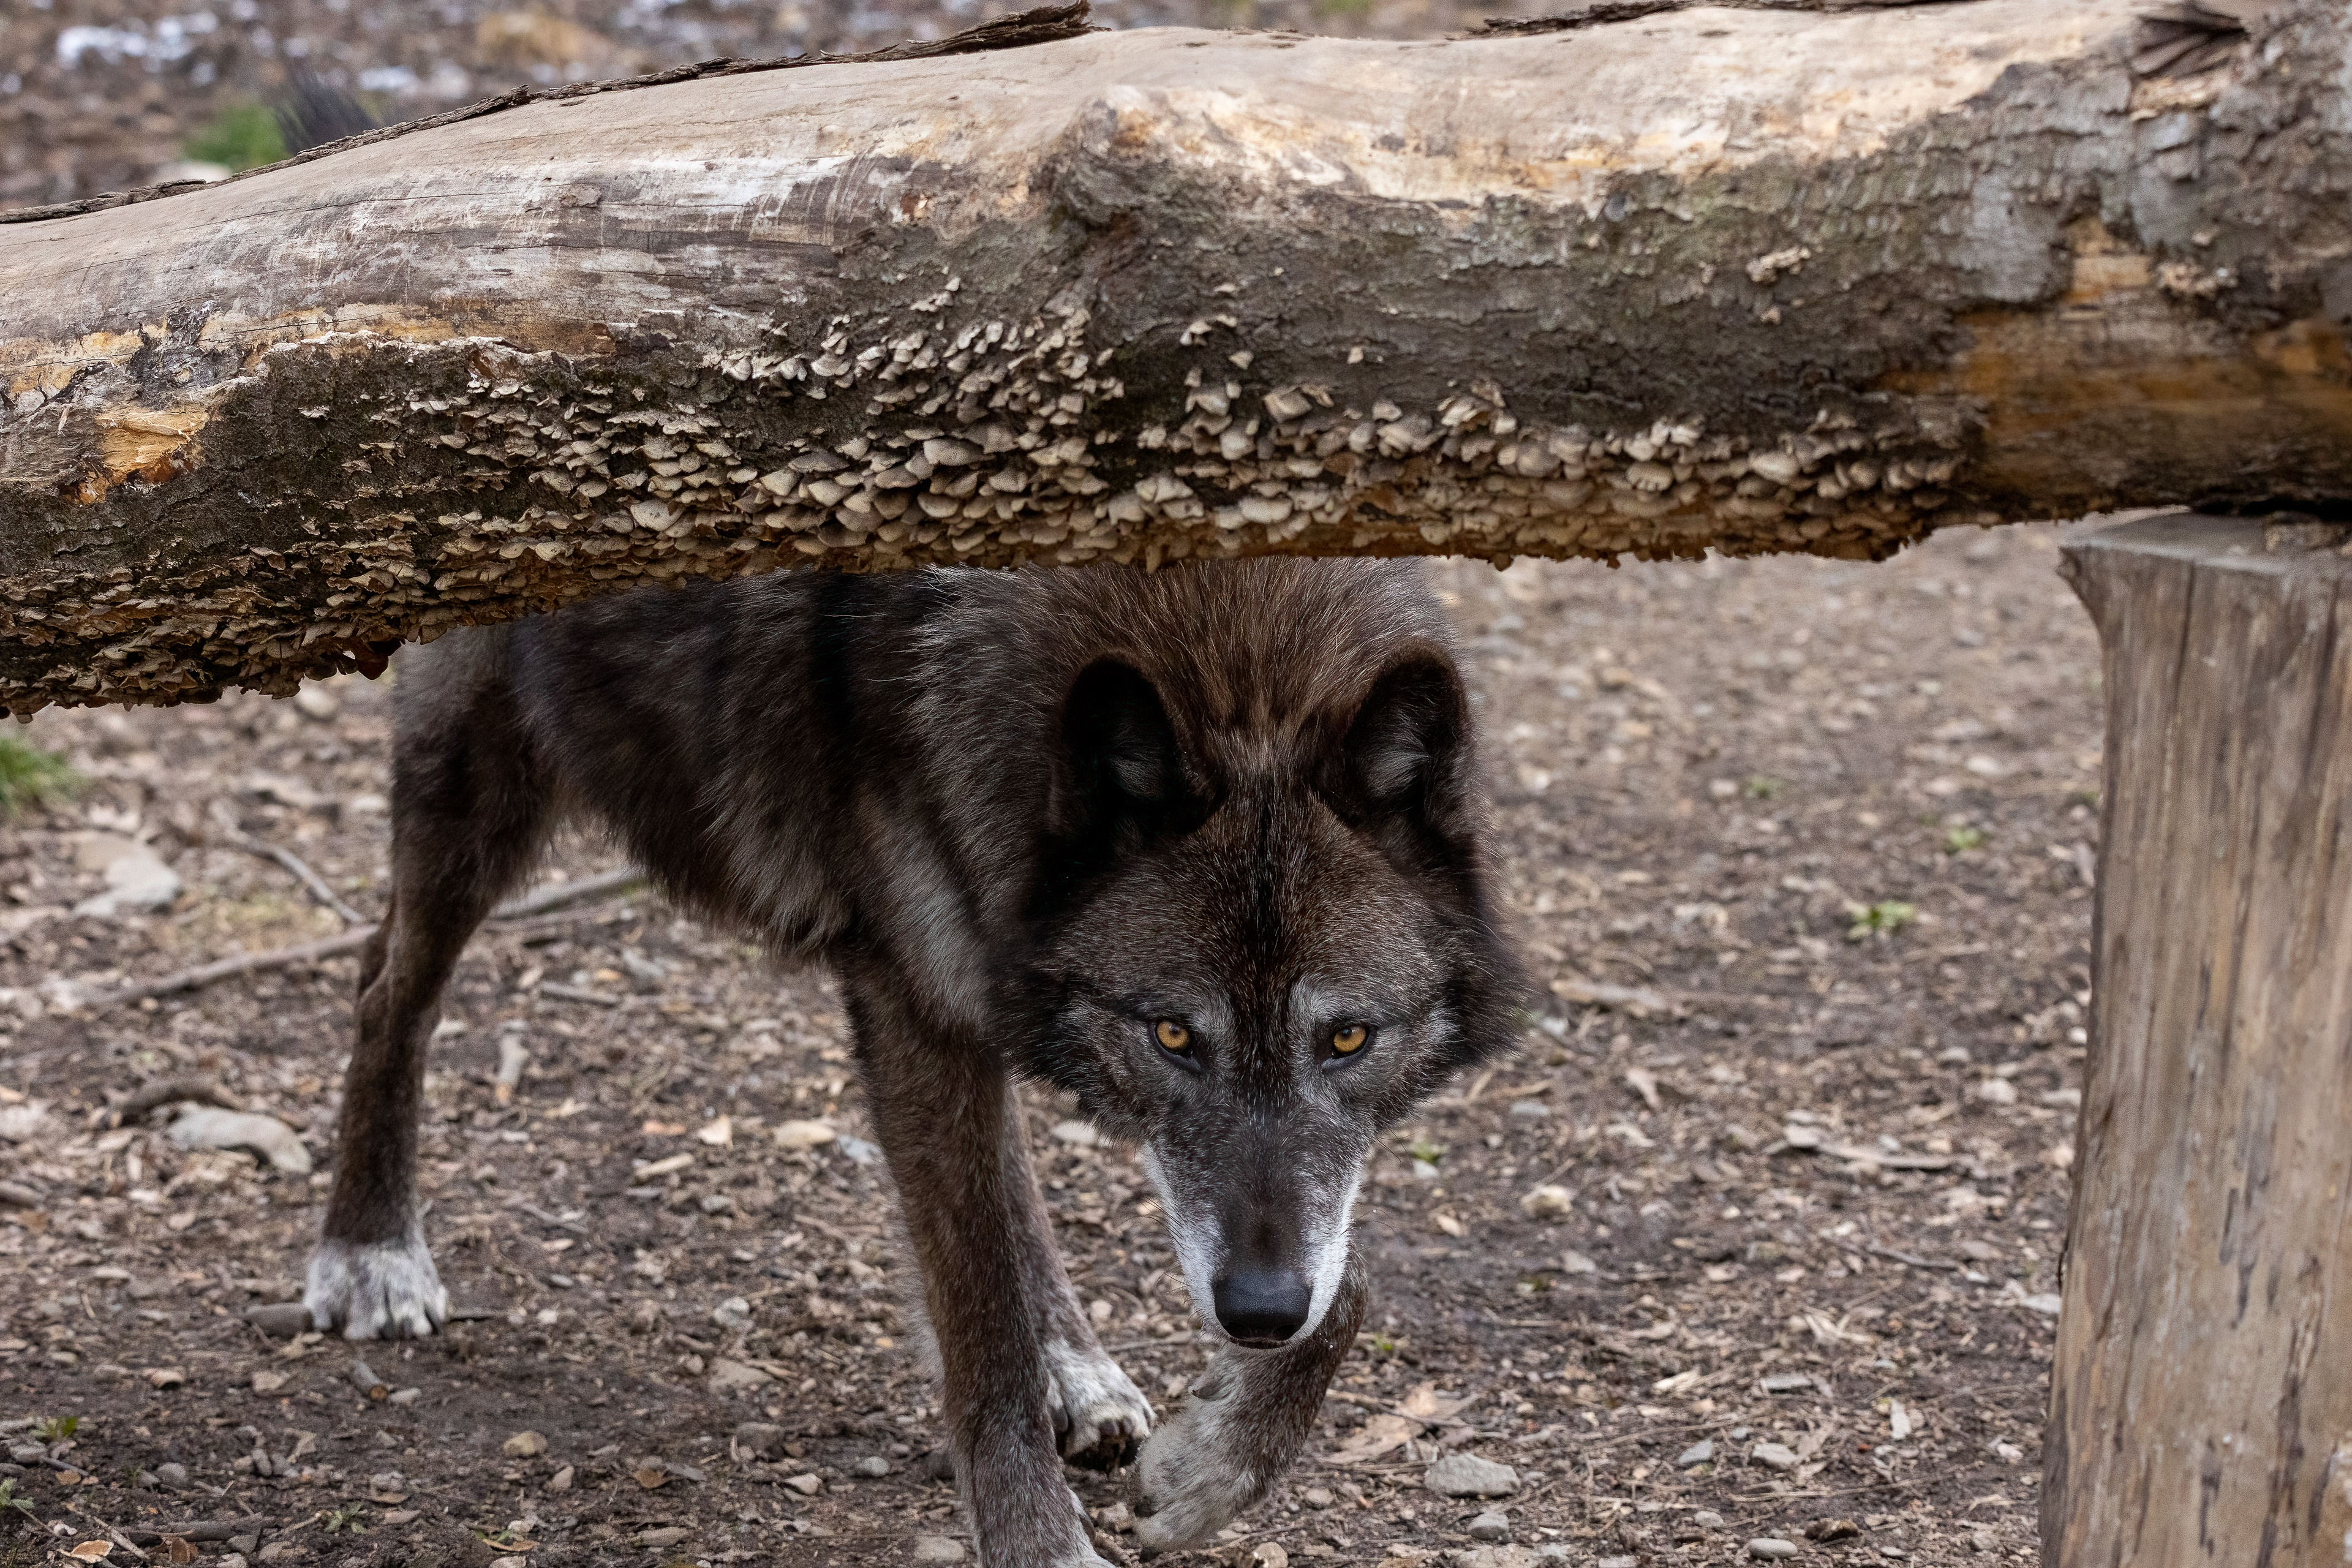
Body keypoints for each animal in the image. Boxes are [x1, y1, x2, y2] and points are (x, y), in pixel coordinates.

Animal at [303, 558, 1519, 1562]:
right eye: (1174, 1034)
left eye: (1348, 1037)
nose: (1257, 1312)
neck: (1220, 639)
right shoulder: (911, 1005)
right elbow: (978, 1322)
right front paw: (1042, 1546)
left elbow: (1349, 1279)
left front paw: (1210, 1469)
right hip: (477, 794)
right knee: (383, 988)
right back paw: (369, 1249)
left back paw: (1079, 1368)